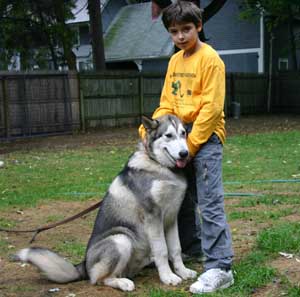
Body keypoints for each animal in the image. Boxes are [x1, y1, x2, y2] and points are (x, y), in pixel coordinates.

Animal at [14, 114, 197, 290]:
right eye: (168, 135)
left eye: (183, 133)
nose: (184, 154)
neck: (160, 166)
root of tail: (83, 265)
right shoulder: (153, 217)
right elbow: (162, 250)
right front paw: (168, 277)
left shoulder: (171, 218)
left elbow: (175, 249)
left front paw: (183, 272)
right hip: (121, 239)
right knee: (99, 279)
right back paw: (123, 283)